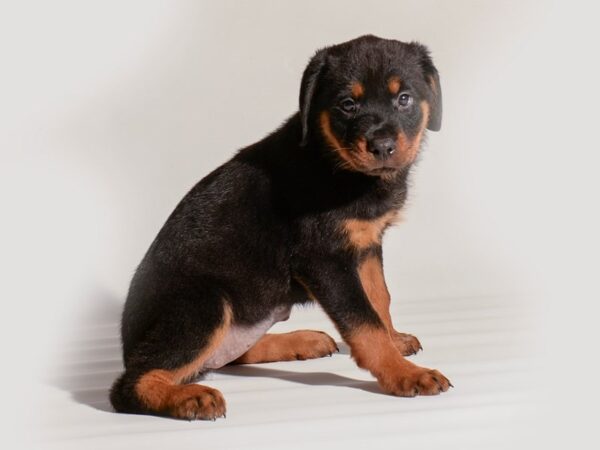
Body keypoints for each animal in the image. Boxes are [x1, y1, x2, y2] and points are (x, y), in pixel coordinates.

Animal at [111, 33, 450, 420]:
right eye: (347, 104)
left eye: (404, 98)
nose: (382, 146)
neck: (336, 164)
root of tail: (126, 347)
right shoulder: (324, 258)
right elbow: (363, 319)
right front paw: (404, 373)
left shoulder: (365, 244)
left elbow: (379, 298)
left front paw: (395, 341)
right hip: (206, 302)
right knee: (130, 384)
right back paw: (189, 397)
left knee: (228, 354)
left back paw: (303, 340)